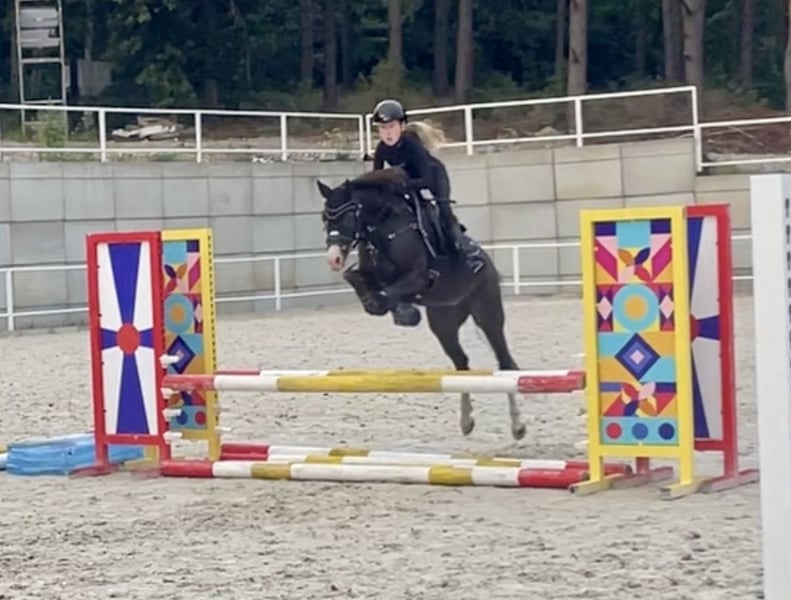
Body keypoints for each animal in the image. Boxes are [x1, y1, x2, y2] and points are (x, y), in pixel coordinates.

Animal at [315, 166, 527, 440]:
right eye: (324, 217)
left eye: (349, 216)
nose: (333, 258)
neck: (383, 227)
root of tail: (487, 262)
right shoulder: (369, 272)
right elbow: (355, 278)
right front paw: (393, 309)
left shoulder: (419, 278)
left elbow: (387, 293)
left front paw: (401, 311)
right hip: (443, 323)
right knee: (462, 364)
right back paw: (466, 422)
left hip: (487, 313)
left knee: (506, 364)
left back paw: (518, 427)